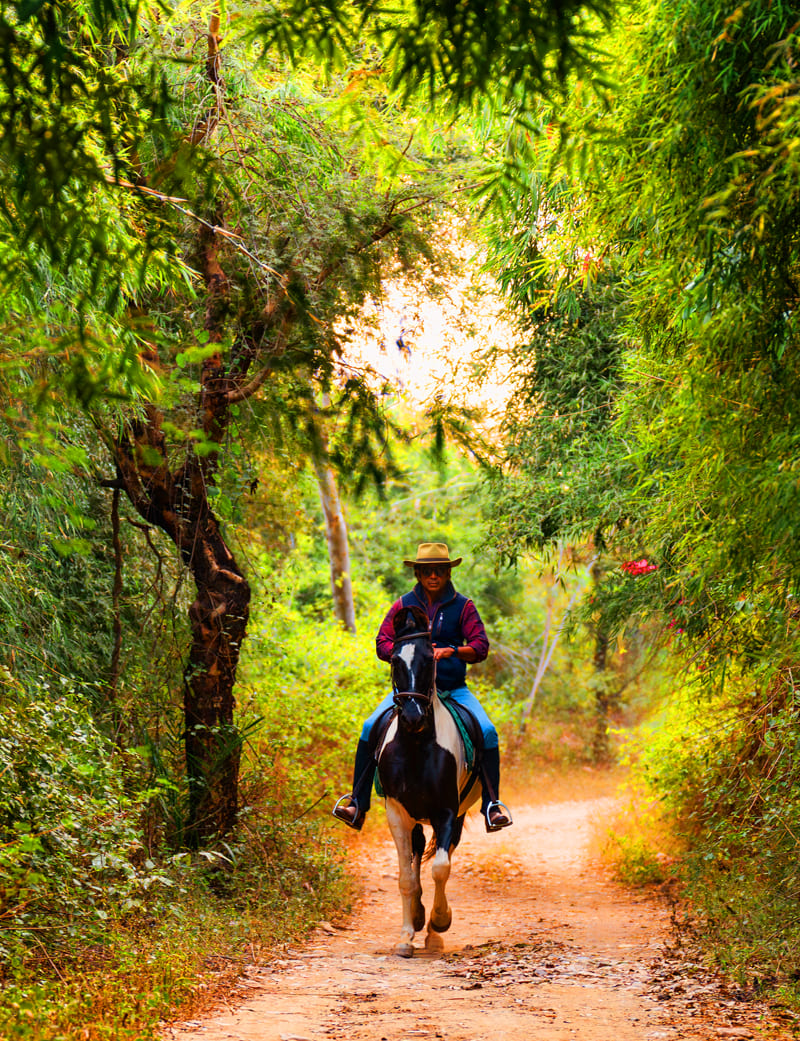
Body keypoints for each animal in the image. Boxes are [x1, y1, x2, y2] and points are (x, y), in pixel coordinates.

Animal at [377, 603, 481, 957]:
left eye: (429, 659)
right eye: (395, 660)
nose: (412, 717)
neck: (417, 747)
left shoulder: (446, 812)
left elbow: (441, 868)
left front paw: (438, 924)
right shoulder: (396, 813)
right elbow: (406, 877)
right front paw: (406, 935)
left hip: (457, 814)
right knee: (417, 852)